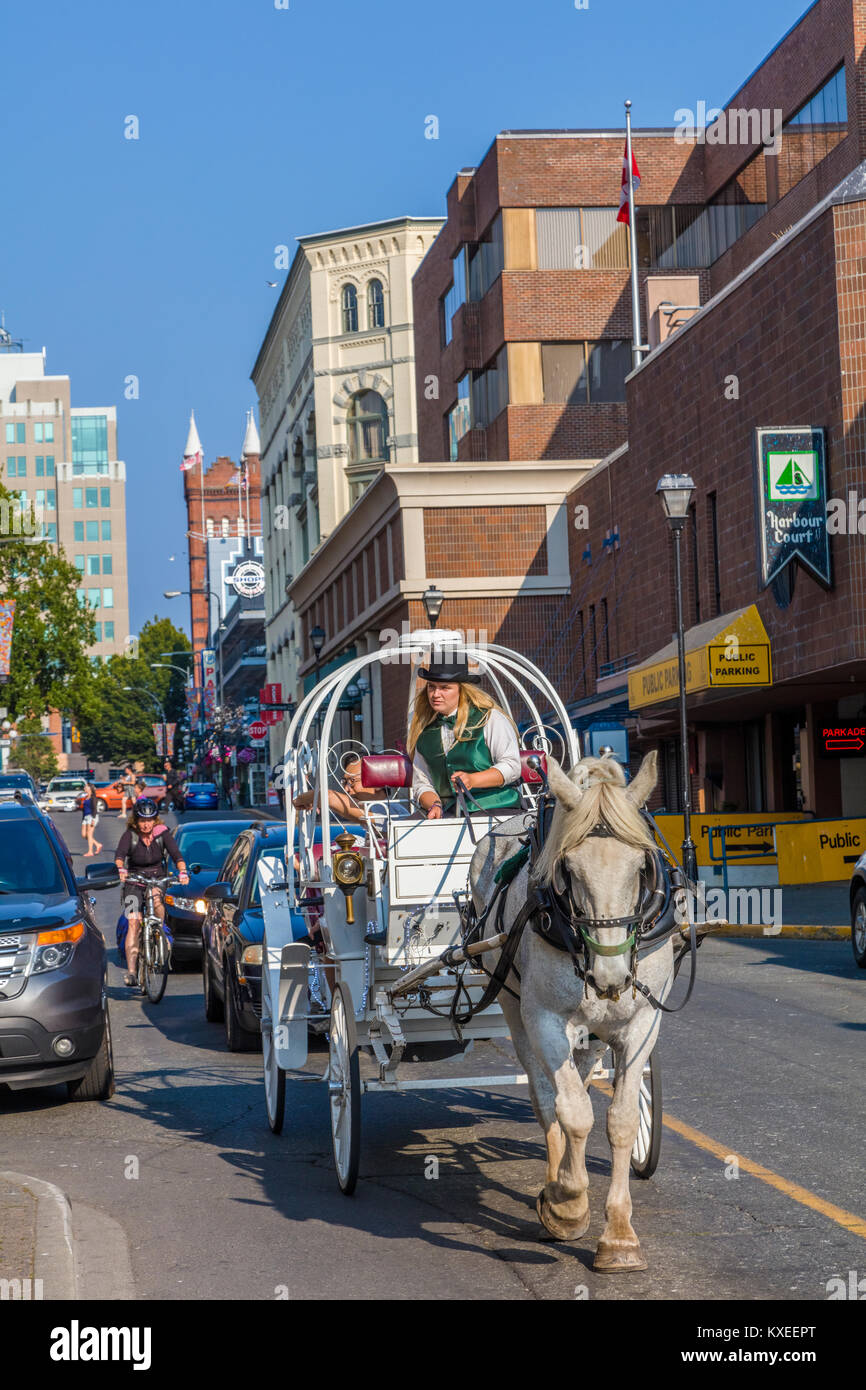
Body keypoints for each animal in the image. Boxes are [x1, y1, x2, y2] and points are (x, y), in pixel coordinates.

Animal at [469, 750, 675, 1273]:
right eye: (568, 868)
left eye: (641, 866)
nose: (610, 976)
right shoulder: (544, 1018)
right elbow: (574, 1113)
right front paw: (566, 1205)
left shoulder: (642, 1023)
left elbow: (621, 1119)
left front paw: (619, 1236)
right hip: (513, 1004)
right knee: (547, 1096)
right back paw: (555, 1182)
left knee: (578, 1079)